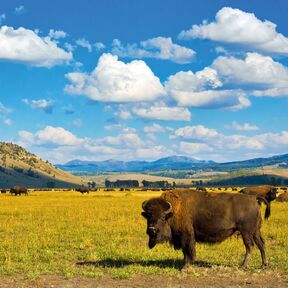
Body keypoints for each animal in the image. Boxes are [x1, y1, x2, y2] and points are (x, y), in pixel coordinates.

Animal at [142, 190, 270, 268]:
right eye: (148, 216)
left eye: (162, 217)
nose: (152, 229)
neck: (173, 211)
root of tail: (254, 199)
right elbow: (185, 251)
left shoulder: (186, 235)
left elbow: (187, 250)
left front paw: (185, 266)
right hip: (255, 231)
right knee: (261, 244)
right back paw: (264, 265)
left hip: (246, 232)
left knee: (250, 246)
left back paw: (242, 265)